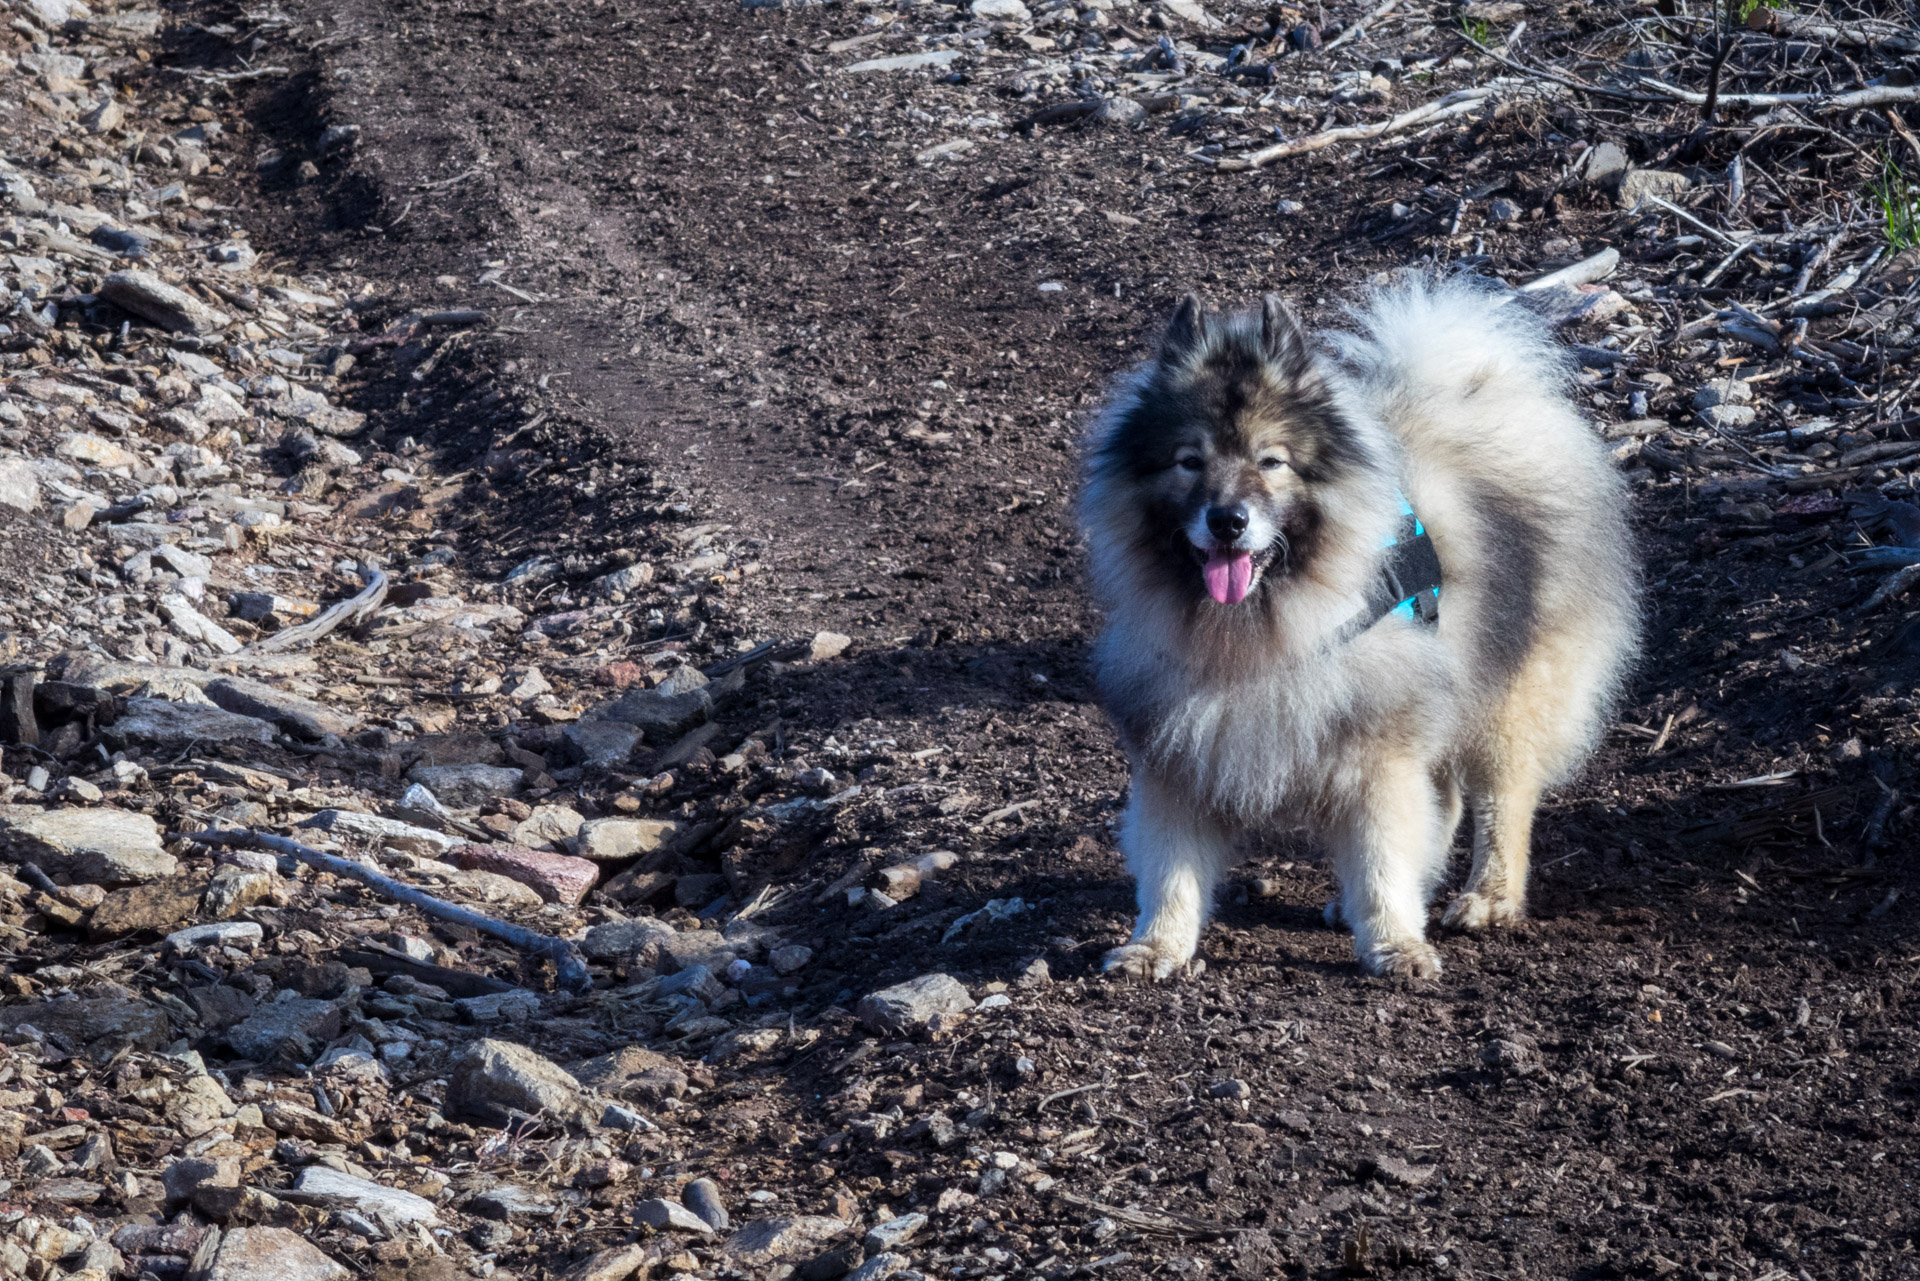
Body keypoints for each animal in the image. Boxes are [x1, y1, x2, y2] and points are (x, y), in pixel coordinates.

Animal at [1082, 278, 1635, 983]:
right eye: (1188, 461)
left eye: (1272, 461)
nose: (1228, 520)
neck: (1259, 632)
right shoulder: (1178, 755)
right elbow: (1170, 871)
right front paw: (1157, 946)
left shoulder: (1379, 753)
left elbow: (1381, 857)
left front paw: (1394, 942)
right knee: (1449, 800)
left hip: (1506, 702)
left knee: (1501, 803)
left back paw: (1488, 898)